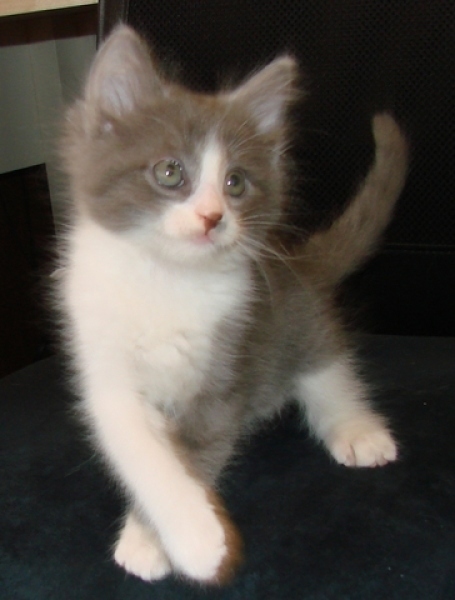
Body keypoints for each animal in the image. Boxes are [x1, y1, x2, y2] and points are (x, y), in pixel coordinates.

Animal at [56, 25, 410, 584]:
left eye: (235, 183)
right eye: (170, 172)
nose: (212, 217)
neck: (167, 281)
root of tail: (298, 263)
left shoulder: (230, 362)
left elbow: (198, 448)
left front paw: (175, 542)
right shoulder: (105, 366)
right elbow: (142, 451)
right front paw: (188, 533)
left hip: (295, 318)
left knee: (327, 368)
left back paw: (358, 428)